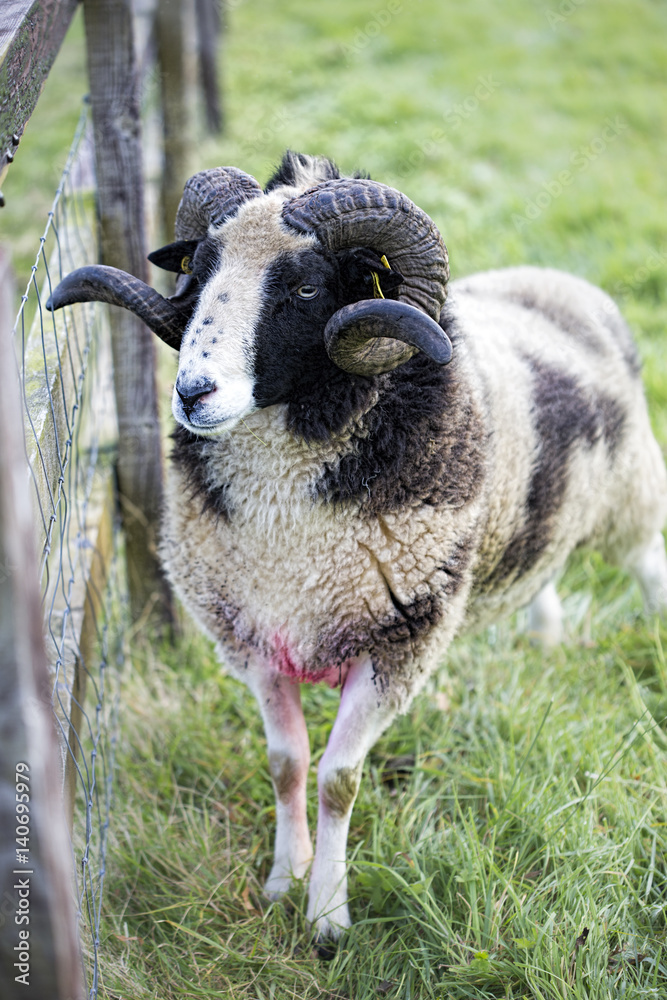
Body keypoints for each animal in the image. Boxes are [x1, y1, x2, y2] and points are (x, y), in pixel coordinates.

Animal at [47, 150, 667, 941]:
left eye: (306, 286)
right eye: (201, 270)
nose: (192, 392)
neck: (289, 537)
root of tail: (562, 281)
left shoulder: (398, 646)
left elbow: (338, 780)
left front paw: (328, 917)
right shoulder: (254, 640)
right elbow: (286, 763)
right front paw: (283, 881)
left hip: (630, 492)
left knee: (647, 563)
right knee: (546, 571)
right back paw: (544, 636)